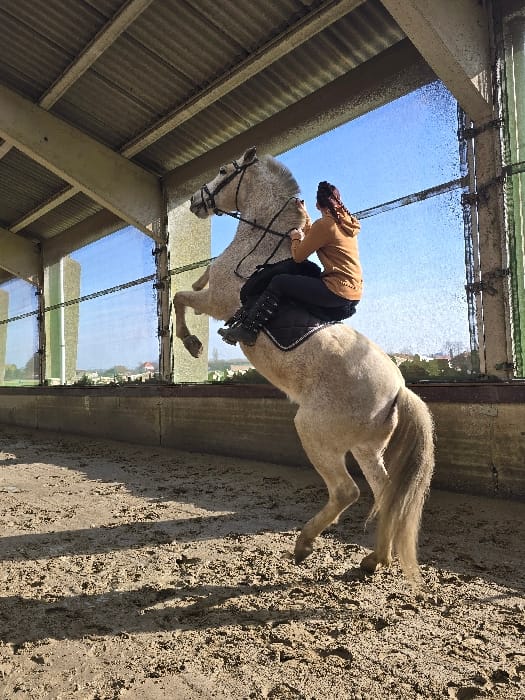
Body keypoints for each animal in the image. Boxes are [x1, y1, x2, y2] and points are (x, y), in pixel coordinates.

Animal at [173, 146, 434, 586]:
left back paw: (305, 544)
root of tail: (399, 390)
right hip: (365, 447)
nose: (195, 201)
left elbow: (179, 298)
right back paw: (374, 560)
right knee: (385, 492)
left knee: (347, 491)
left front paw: (192, 345)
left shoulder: (217, 302)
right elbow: (189, 289)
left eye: (224, 170)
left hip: (315, 432)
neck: (261, 247)